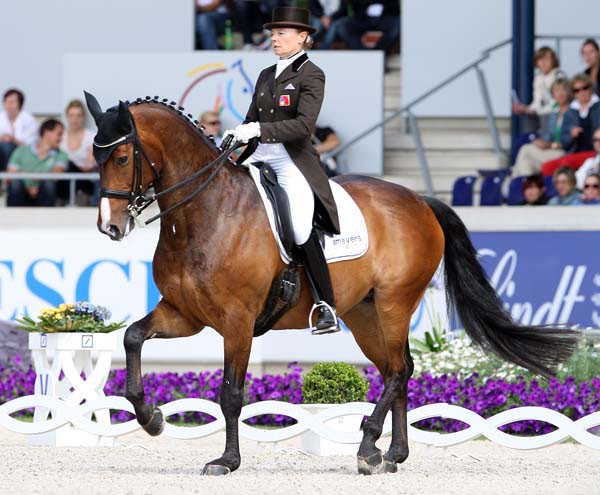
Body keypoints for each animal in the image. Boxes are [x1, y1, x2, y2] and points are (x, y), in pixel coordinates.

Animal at [90, 96, 576, 476]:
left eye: (121, 158)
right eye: (96, 160)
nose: (109, 227)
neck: (204, 213)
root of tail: (420, 200)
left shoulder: (237, 321)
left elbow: (230, 394)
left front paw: (226, 461)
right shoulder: (185, 314)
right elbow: (132, 337)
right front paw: (151, 417)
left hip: (396, 303)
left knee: (396, 371)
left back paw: (367, 449)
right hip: (365, 314)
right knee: (399, 369)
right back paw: (392, 455)